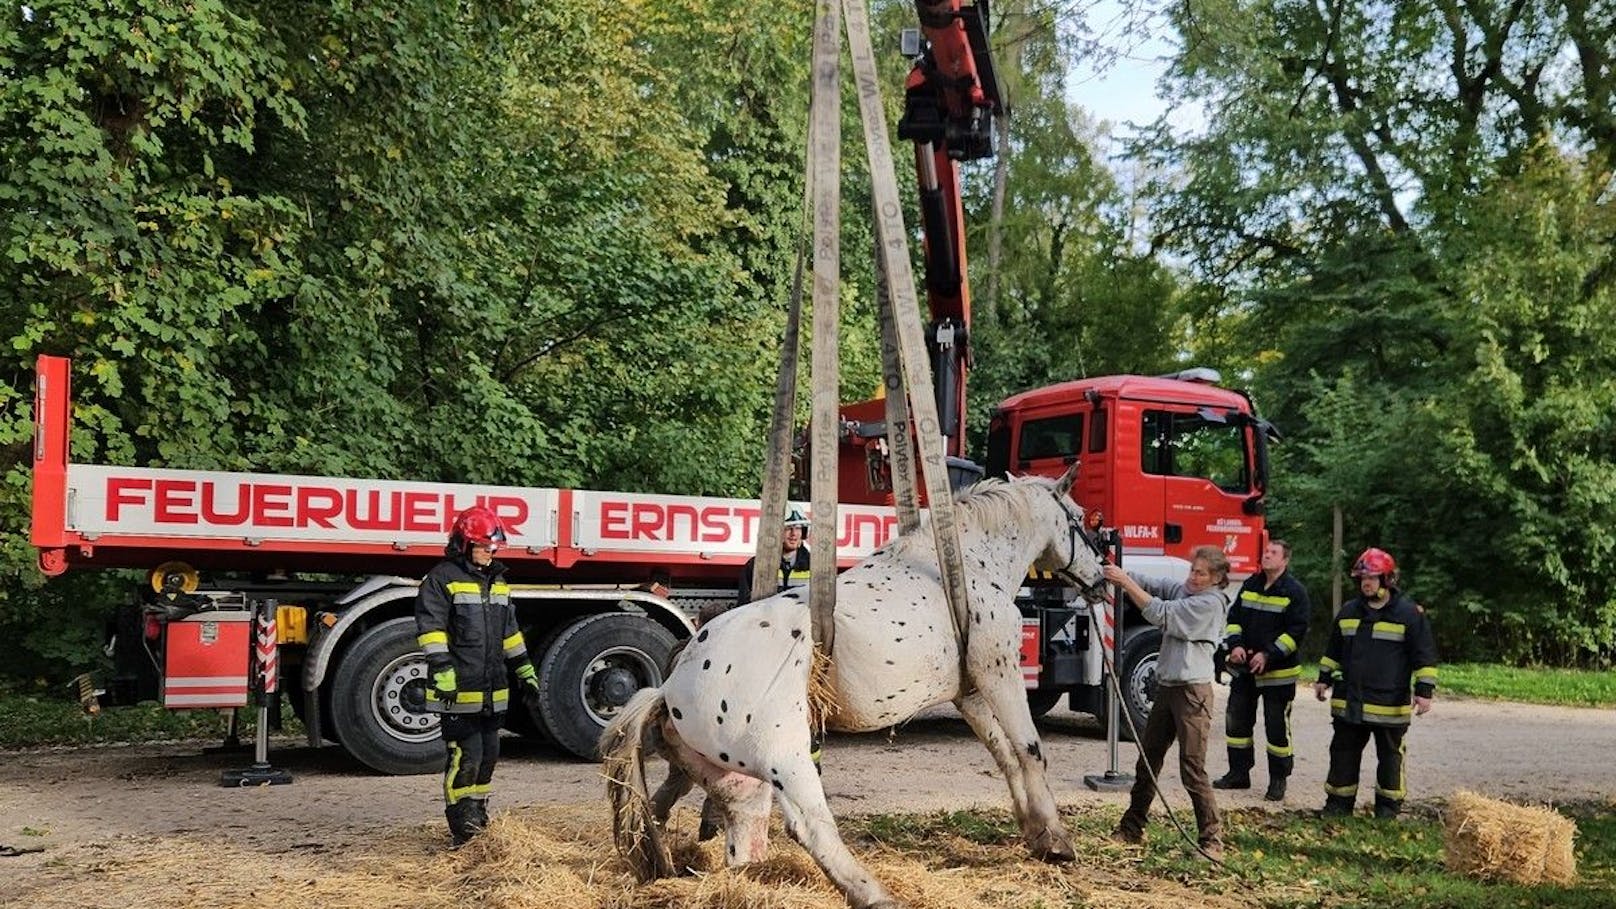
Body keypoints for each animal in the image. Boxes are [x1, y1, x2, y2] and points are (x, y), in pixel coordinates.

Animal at [604, 462, 1111, 899]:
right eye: (1081, 519)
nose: (1102, 582)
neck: (963, 567)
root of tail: (668, 689)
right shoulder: (999, 671)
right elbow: (1029, 750)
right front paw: (1056, 840)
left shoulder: (968, 693)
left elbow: (1004, 754)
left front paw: (1034, 832)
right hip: (785, 757)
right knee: (809, 825)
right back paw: (875, 894)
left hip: (735, 783)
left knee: (715, 827)